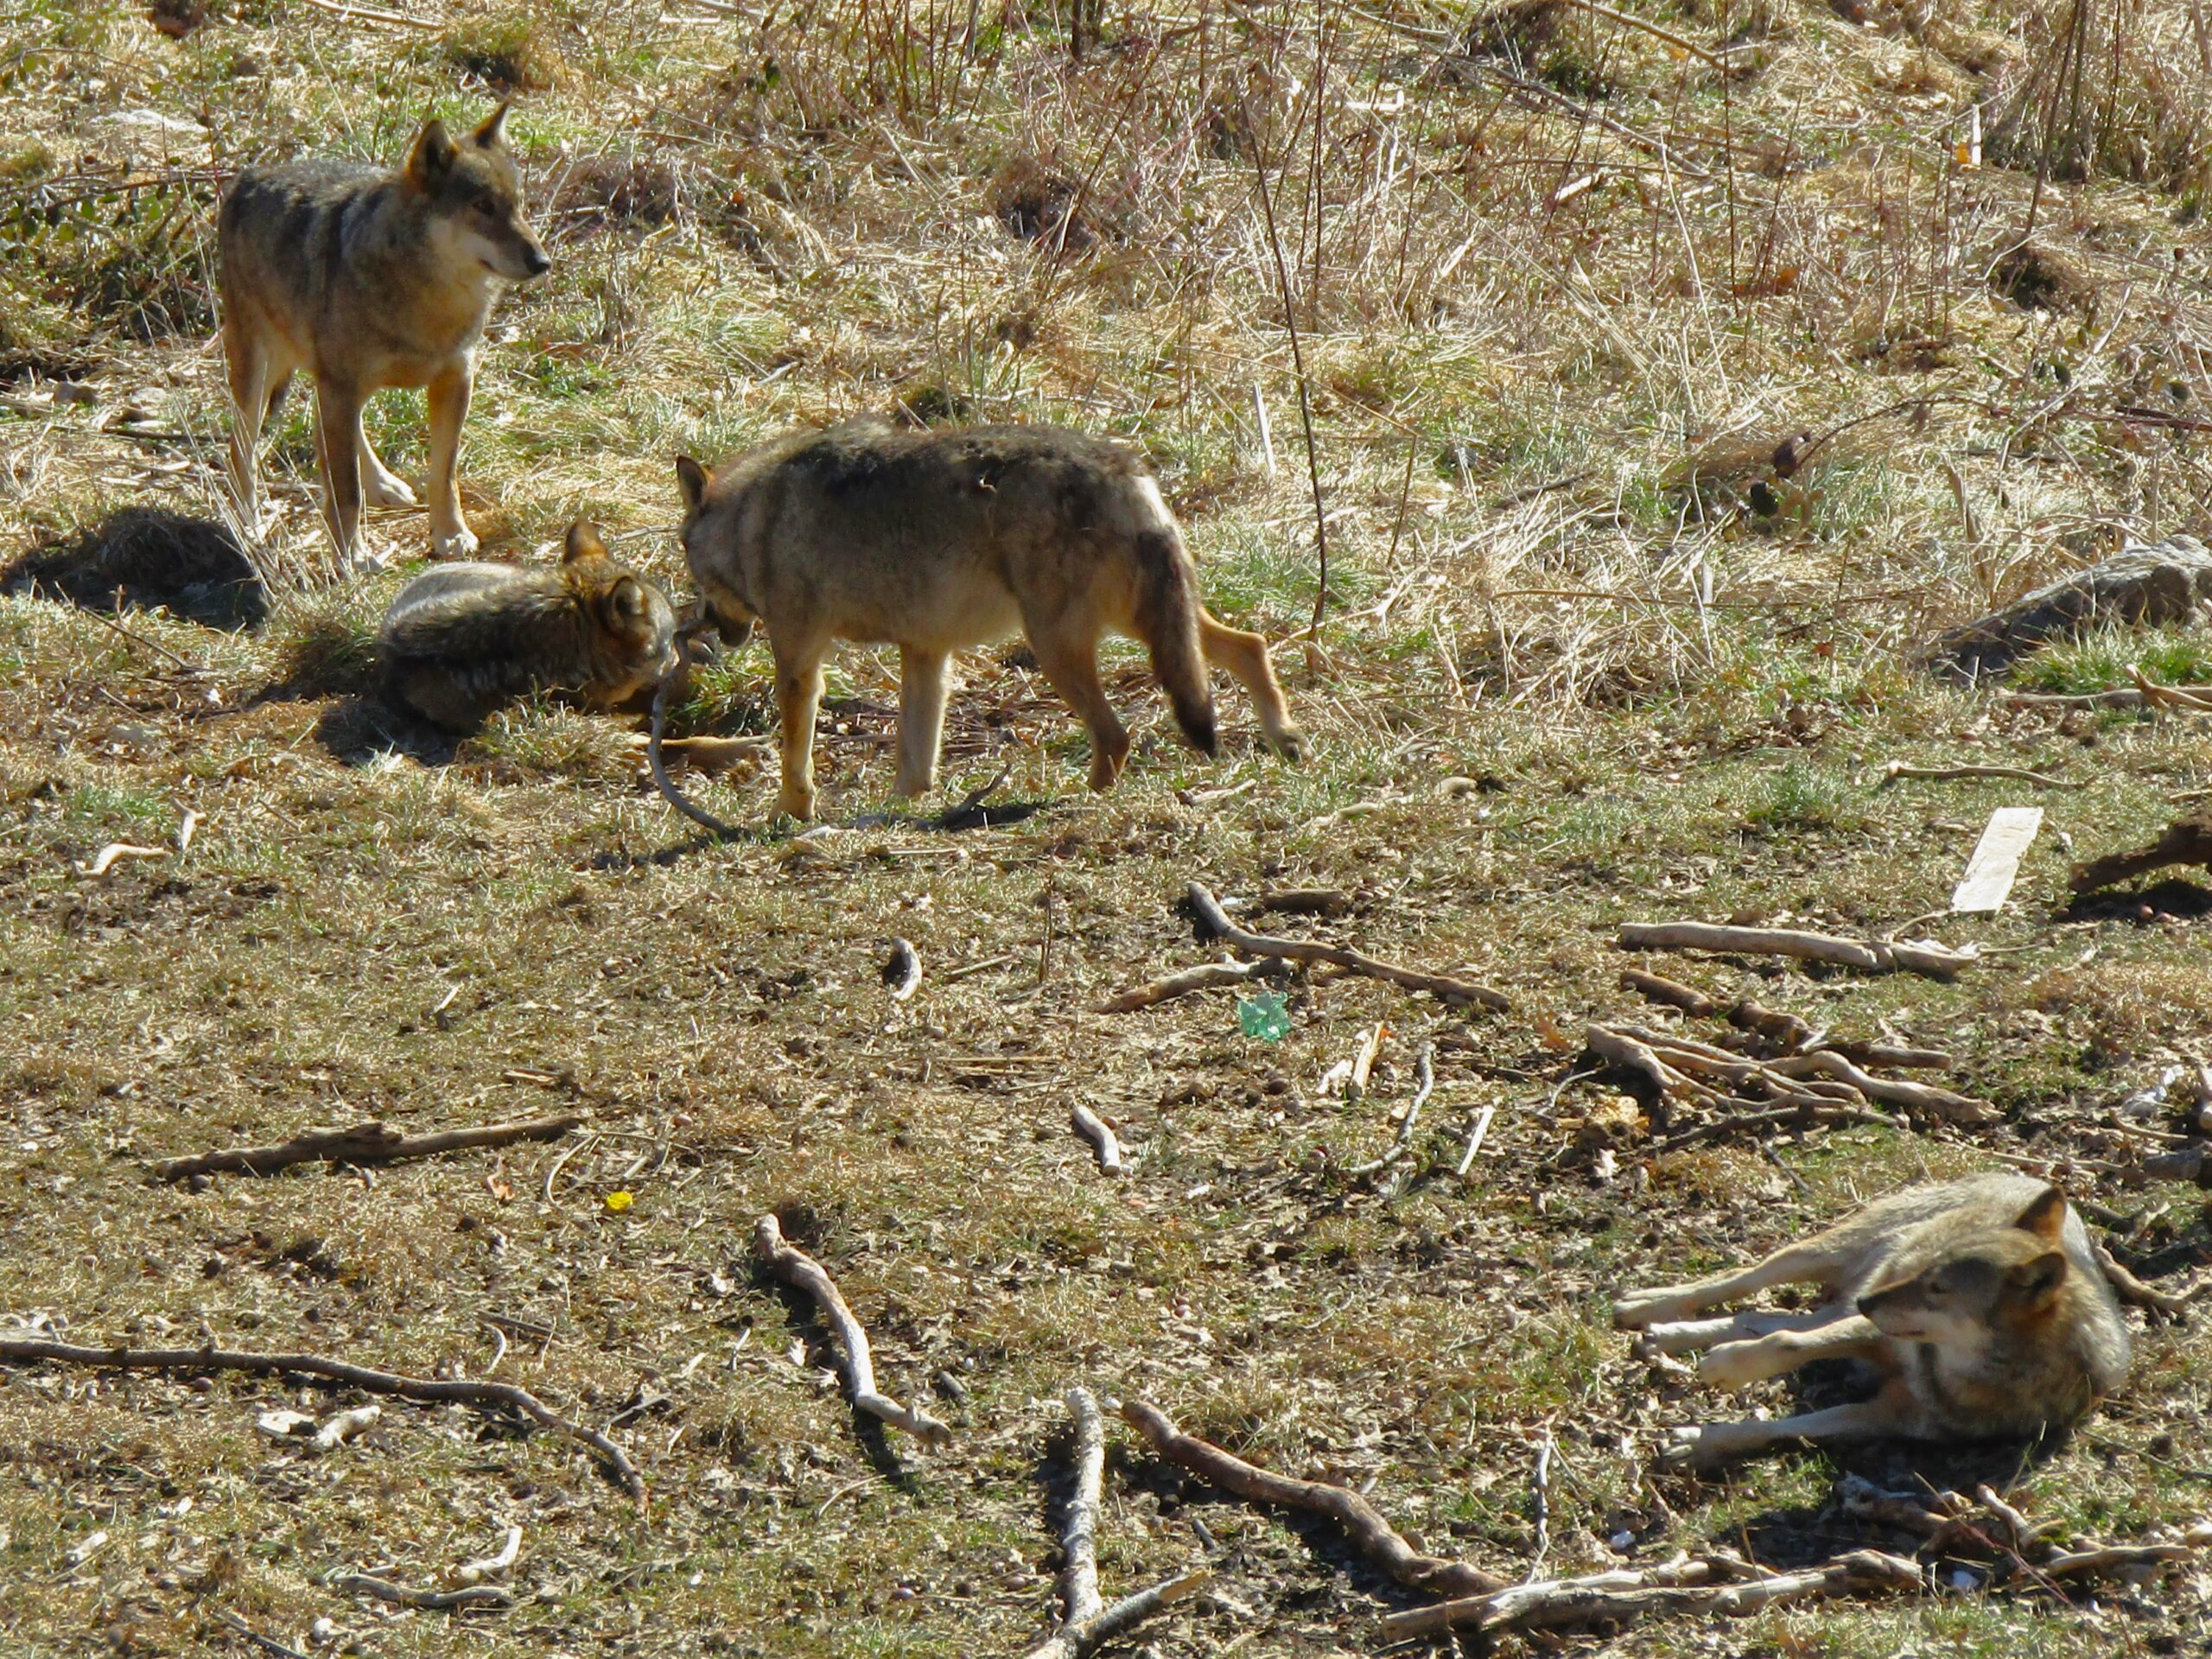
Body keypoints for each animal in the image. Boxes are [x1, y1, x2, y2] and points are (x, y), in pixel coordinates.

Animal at [218, 105, 546, 570]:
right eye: (483, 206)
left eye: (517, 206)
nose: (542, 261)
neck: (429, 302)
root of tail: (248, 176)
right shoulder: (341, 386)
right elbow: (345, 491)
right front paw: (352, 556)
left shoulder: (456, 379)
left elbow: (444, 474)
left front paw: (451, 535)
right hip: (260, 373)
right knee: (241, 450)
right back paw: (248, 521)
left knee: (323, 424)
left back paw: (383, 484)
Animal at [664, 417, 1300, 823]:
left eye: (691, 569)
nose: (697, 624)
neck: (753, 521)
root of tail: (1129, 470)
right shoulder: (926, 651)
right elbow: (915, 760)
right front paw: (898, 810)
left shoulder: (799, 657)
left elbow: (795, 751)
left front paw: (789, 812)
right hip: (1151, 626)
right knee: (1250, 645)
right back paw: (1287, 740)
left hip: (1059, 648)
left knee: (1117, 734)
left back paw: (1080, 799)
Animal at [1618, 1167, 2132, 1468]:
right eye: (1926, 1271)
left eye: (1938, 1288)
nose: (1871, 1298)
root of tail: (2022, 1173)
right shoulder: (1874, 1330)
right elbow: (1786, 1344)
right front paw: (1724, 1369)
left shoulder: (1884, 1415)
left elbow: (1777, 1425)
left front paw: (1701, 1443)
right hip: (1823, 1255)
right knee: (1743, 1283)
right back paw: (1643, 1306)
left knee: (1764, 1315)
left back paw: (1662, 1337)